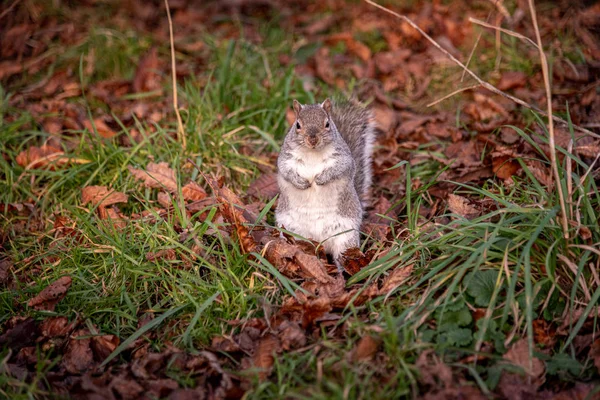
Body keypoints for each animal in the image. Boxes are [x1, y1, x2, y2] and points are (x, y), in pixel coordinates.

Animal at [276, 97, 376, 272]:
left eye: (327, 124)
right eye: (298, 125)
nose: (312, 139)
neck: (312, 153)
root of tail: (320, 242)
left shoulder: (343, 159)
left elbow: (339, 168)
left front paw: (320, 179)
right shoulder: (285, 159)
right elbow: (285, 171)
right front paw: (301, 182)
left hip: (345, 237)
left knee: (341, 256)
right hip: (290, 231)